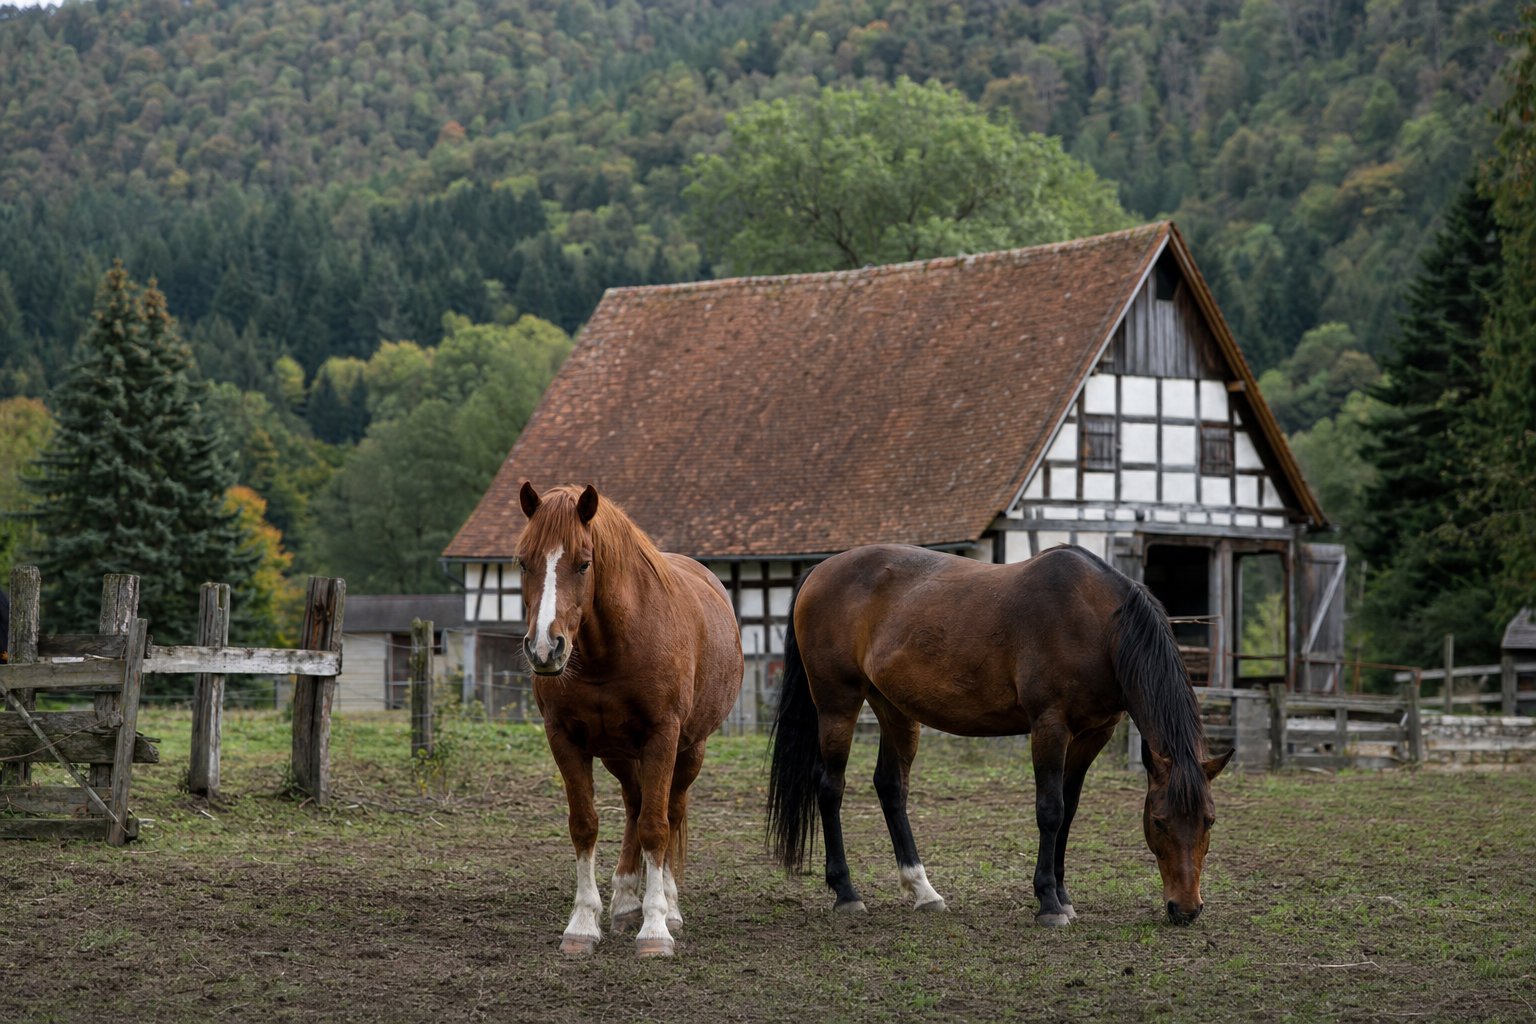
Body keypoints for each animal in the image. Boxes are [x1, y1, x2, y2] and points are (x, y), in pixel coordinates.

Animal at [515, 482, 743, 957]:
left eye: (584, 563)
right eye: (523, 561)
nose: (545, 649)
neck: (611, 648)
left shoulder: (662, 737)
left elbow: (657, 828)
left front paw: (655, 929)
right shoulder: (564, 739)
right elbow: (584, 826)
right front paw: (583, 924)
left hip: (689, 750)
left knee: (669, 810)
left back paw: (669, 907)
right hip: (618, 753)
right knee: (634, 803)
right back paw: (623, 900)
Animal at [766, 543, 1232, 927]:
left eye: (1210, 819)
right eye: (1158, 821)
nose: (1186, 910)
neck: (1100, 626)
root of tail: (821, 569)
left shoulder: (1093, 734)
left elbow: (1070, 810)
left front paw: (1063, 896)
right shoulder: (1049, 726)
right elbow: (1050, 810)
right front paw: (1048, 903)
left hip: (894, 709)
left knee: (891, 787)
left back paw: (923, 891)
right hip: (838, 704)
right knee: (831, 787)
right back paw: (846, 893)